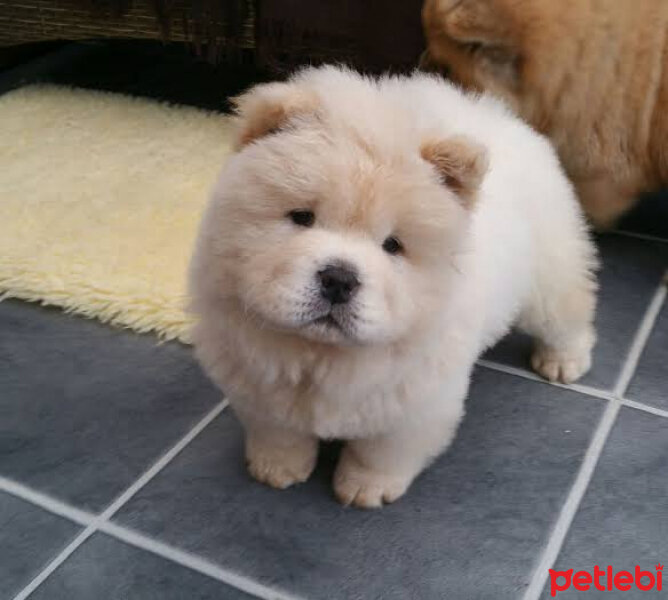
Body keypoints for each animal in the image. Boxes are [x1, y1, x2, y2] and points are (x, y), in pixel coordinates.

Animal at [187, 64, 596, 506]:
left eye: (393, 245)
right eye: (302, 217)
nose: (339, 279)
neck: (322, 356)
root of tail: (503, 118)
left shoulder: (416, 403)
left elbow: (381, 451)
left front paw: (365, 489)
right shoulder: (256, 381)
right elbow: (277, 433)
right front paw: (275, 469)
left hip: (548, 276)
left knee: (569, 312)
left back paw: (563, 361)